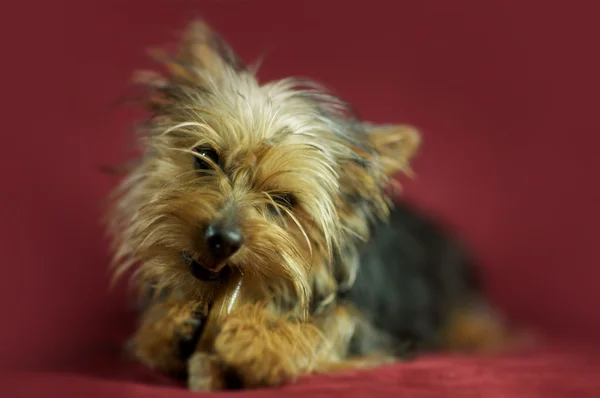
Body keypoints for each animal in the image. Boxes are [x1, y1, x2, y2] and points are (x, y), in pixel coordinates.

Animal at [106, 20, 506, 390]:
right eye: (206, 158)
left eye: (285, 200)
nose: (221, 239)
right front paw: (166, 323)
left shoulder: (365, 326)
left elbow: (328, 328)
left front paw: (261, 336)